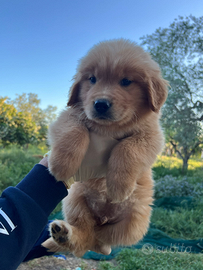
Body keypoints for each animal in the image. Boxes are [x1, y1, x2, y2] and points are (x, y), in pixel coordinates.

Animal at [42, 39, 167, 256]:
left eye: (126, 81)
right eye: (92, 79)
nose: (100, 104)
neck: (109, 128)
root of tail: (102, 218)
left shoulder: (152, 135)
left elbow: (128, 147)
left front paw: (119, 185)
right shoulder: (68, 115)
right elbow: (73, 130)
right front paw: (61, 165)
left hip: (135, 222)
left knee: (101, 242)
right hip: (74, 199)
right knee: (85, 237)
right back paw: (64, 233)